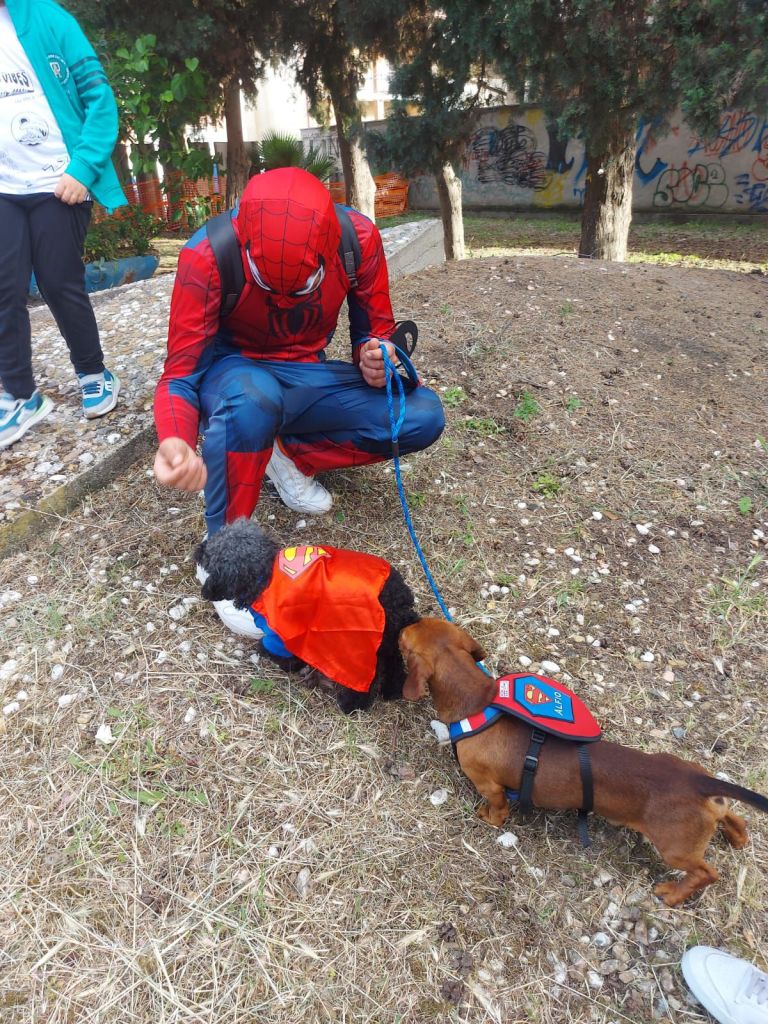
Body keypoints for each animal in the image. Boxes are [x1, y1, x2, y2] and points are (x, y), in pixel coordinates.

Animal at [196, 519, 419, 713]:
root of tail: (401, 598)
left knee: (367, 676)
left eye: (211, 558)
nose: (199, 548)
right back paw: (392, 690)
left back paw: (352, 704)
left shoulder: (280, 633)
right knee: (394, 660)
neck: (265, 576)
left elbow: (276, 652)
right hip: (386, 638)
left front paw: (287, 664)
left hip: (362, 641)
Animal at [399, 617, 768, 906]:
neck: (479, 701)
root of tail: (698, 782)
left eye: (404, 637)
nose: (404, 620)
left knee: (707, 872)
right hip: (710, 806)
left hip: (674, 847)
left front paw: (488, 818)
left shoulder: (488, 784)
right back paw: (737, 838)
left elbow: (497, 808)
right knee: (733, 817)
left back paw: (673, 894)